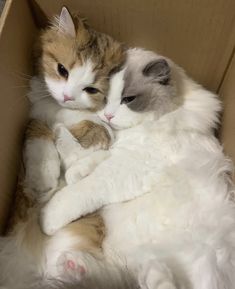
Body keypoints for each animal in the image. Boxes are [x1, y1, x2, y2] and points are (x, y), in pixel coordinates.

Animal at [40, 48, 235, 288]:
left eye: (128, 99)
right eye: (104, 97)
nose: (107, 115)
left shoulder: (130, 167)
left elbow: (82, 190)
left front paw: (48, 217)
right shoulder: (119, 150)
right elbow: (93, 160)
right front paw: (76, 171)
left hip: (206, 267)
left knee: (175, 284)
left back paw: (156, 273)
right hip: (123, 264)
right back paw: (75, 267)